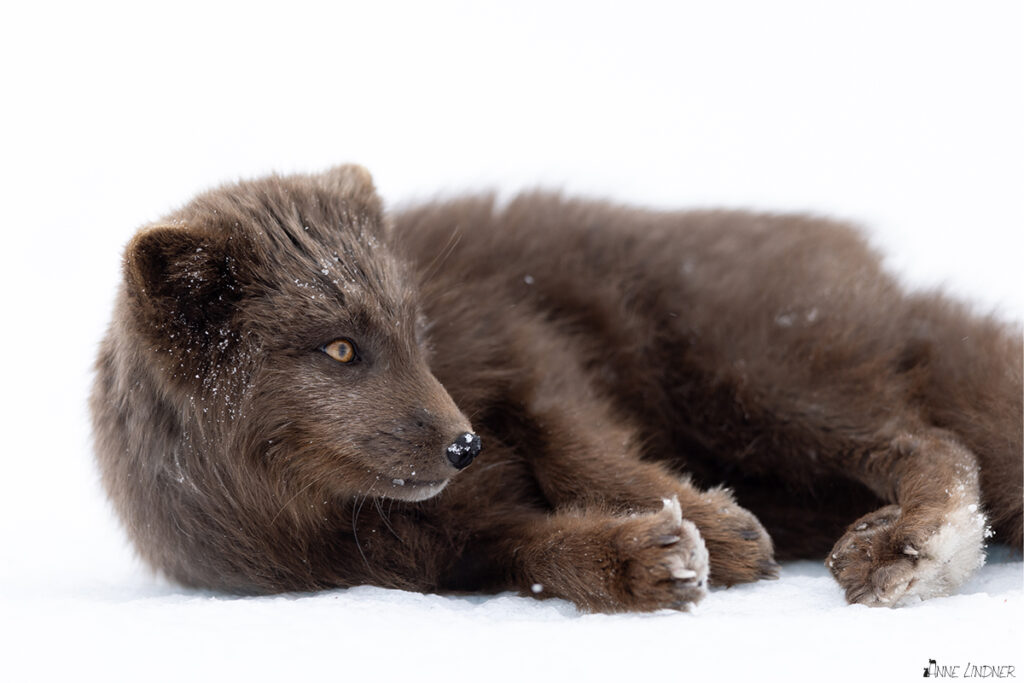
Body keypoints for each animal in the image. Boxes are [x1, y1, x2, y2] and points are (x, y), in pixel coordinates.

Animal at [92, 166, 1019, 614]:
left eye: (418, 334)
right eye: (341, 348)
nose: (464, 445)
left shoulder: (522, 337)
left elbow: (578, 442)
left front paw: (712, 524)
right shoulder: (438, 557)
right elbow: (536, 553)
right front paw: (646, 562)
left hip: (754, 379)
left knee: (931, 440)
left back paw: (916, 547)